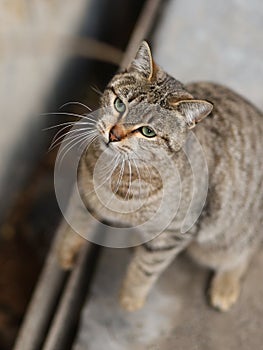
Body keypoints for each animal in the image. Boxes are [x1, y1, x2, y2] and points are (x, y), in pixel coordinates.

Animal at [57, 40, 263, 312]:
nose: (114, 134)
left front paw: (131, 298)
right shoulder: (86, 192)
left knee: (242, 253)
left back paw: (226, 285)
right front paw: (66, 252)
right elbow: (77, 225)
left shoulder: (174, 235)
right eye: (120, 104)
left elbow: (146, 269)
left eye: (148, 132)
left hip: (224, 240)